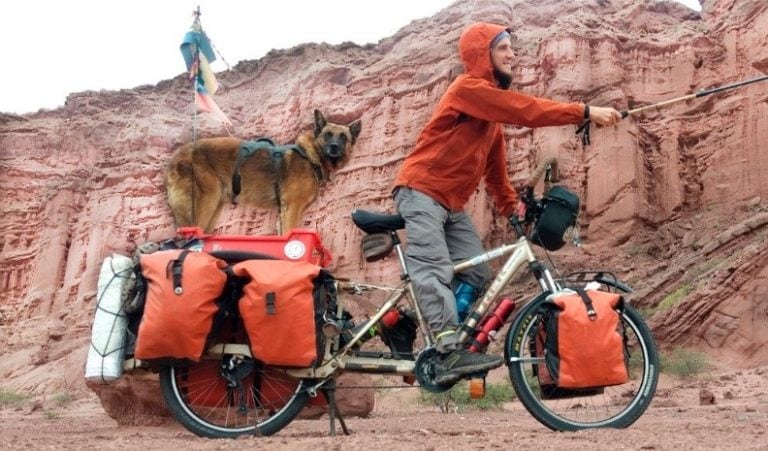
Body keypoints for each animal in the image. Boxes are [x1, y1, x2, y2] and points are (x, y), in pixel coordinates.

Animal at [164, 110, 360, 235]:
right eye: (327, 135)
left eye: (343, 137)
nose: (334, 148)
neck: (310, 156)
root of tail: (176, 156)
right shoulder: (292, 207)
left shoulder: (284, 210)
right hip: (206, 201)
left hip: (214, 208)